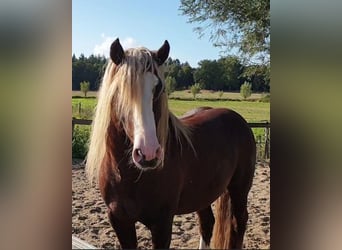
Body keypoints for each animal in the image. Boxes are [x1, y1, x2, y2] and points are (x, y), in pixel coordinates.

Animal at [87, 38, 255, 249]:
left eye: (158, 88)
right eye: (120, 89)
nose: (148, 153)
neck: (128, 176)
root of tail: (237, 118)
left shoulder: (162, 223)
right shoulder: (119, 220)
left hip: (239, 190)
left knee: (237, 223)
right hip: (203, 194)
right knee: (207, 223)